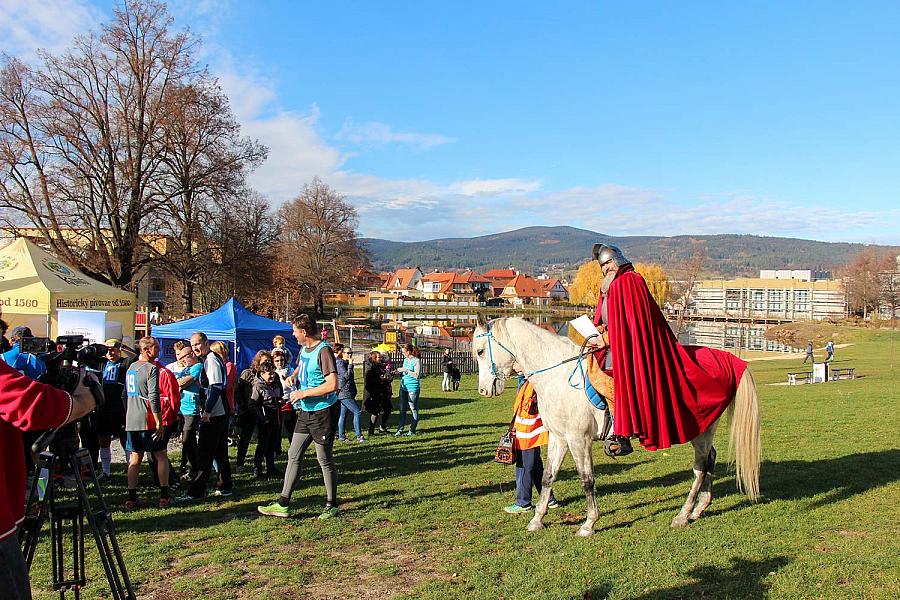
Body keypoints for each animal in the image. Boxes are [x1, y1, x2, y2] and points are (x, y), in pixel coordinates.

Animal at [472, 316, 760, 536]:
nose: (484, 390)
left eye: (480, 351)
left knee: (700, 467)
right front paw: (536, 520)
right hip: (703, 430)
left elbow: (587, 479)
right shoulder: (559, 437)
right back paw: (700, 508)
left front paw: (588, 524)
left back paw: (683, 514)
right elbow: (547, 477)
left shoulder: (579, 440)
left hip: (700, 431)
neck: (558, 376)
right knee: (710, 459)